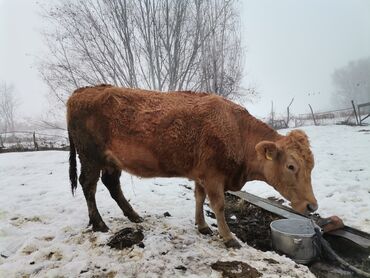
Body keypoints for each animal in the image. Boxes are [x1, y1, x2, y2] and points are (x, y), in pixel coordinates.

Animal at [67, 84, 318, 248]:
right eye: (291, 166)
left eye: (312, 166)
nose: (312, 206)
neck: (237, 131)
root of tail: (81, 91)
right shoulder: (214, 176)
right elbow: (218, 205)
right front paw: (228, 238)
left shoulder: (201, 174)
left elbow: (199, 197)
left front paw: (202, 226)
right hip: (90, 157)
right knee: (88, 185)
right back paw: (99, 223)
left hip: (110, 161)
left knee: (112, 185)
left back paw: (134, 216)